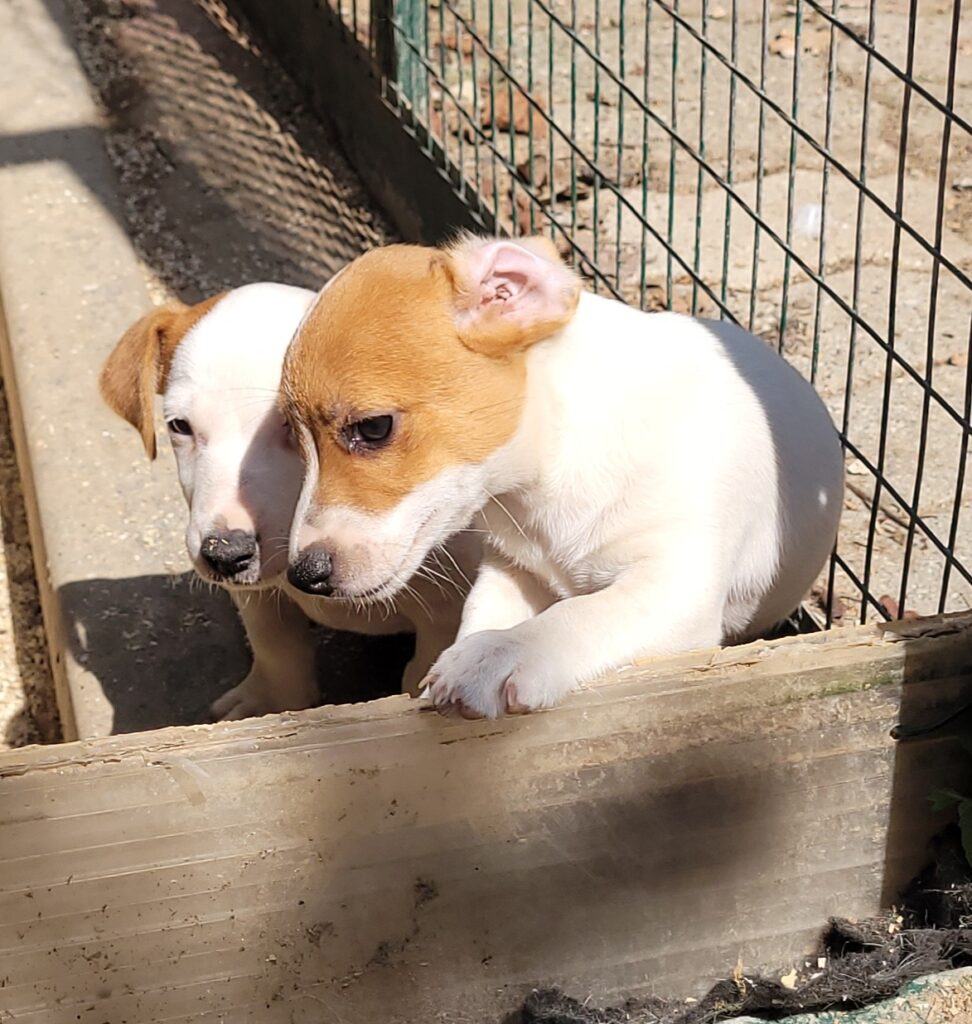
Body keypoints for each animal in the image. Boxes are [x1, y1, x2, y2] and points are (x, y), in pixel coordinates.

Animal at [99, 282, 473, 720]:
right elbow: (275, 647)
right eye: (179, 426)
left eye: (294, 428)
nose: (225, 553)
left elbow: (417, 679)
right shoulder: (257, 598)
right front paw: (266, 705)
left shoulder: (443, 619)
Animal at [278, 238, 843, 720]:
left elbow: (580, 615)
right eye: (292, 436)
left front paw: (502, 654)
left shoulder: (676, 586)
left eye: (373, 428)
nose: (302, 575)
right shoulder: (511, 569)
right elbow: (480, 616)